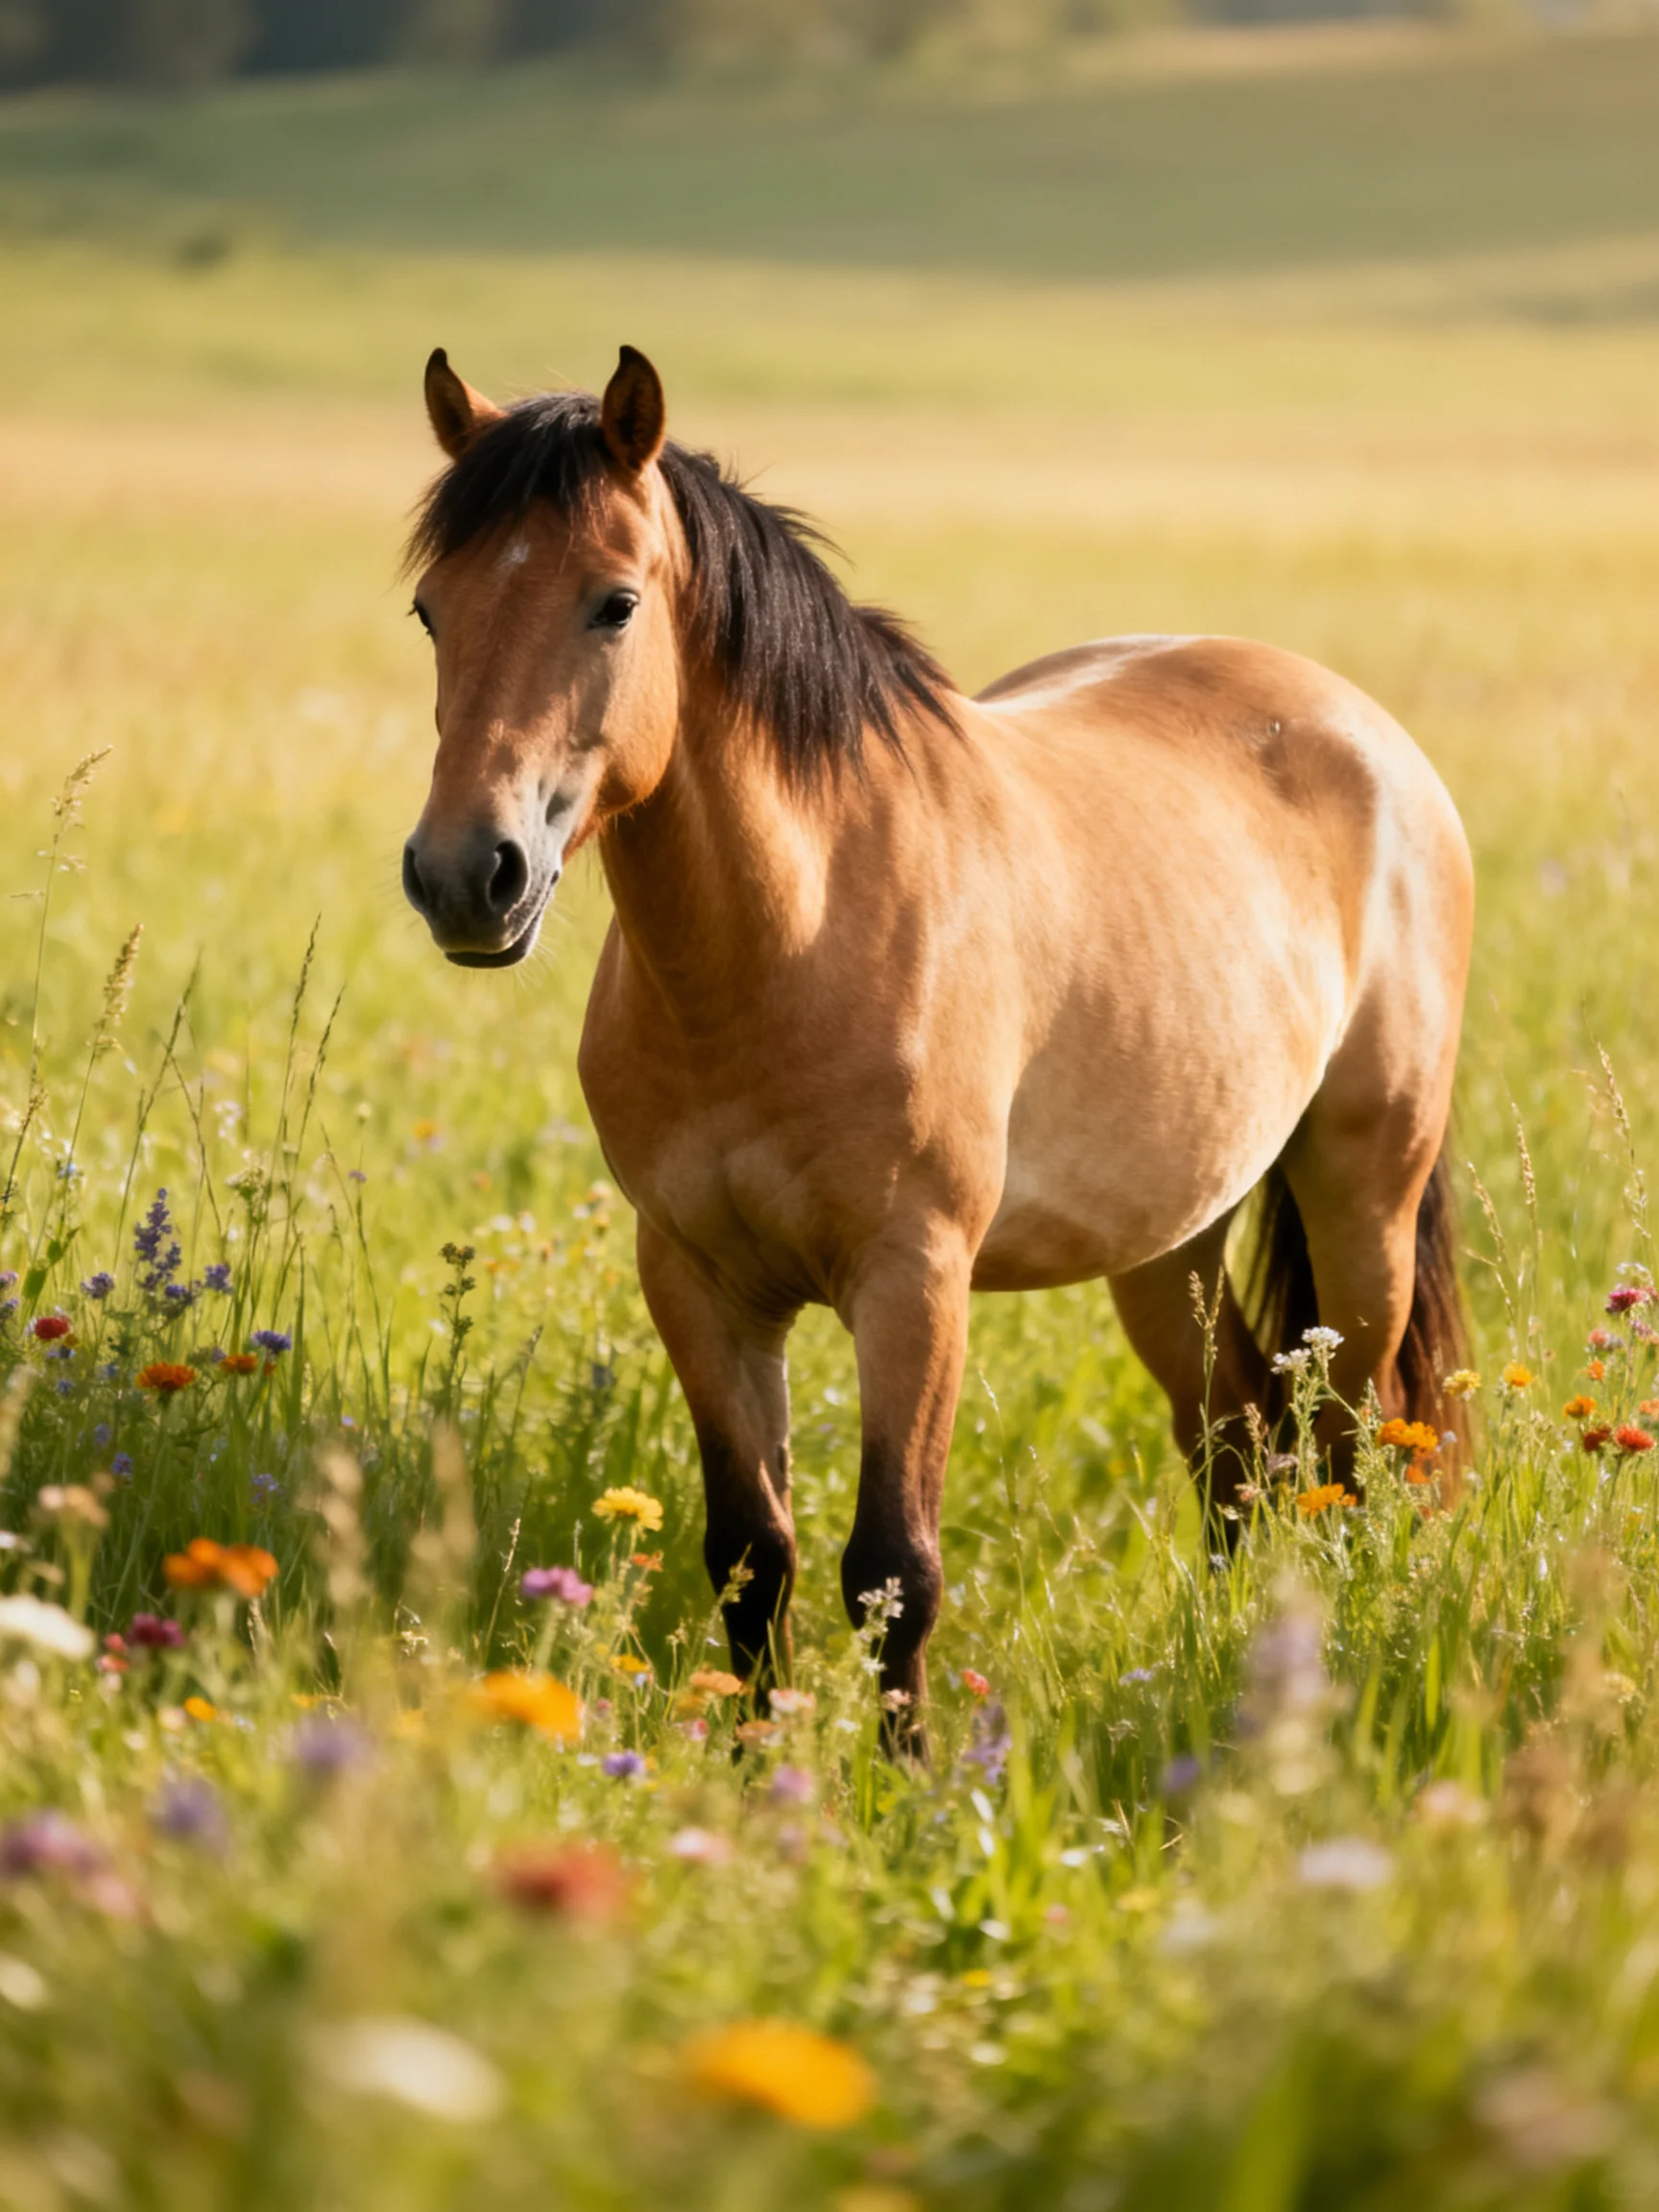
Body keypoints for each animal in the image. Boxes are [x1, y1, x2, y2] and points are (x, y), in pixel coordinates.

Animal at [400, 343, 1474, 1752]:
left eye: (614, 604)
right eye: (432, 611)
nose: (466, 875)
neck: (786, 943)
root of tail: (1365, 732)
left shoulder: (914, 1281)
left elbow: (893, 1567)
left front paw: (902, 1783)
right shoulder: (696, 1280)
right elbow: (753, 1555)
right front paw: (757, 1768)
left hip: (1364, 1202)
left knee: (1354, 1441)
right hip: (1171, 1239)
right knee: (1239, 1439)